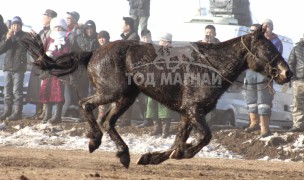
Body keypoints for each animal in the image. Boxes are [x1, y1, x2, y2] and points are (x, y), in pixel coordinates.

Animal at [21, 25, 292, 169]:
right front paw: (178, 154)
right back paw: (94, 141)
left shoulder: (188, 114)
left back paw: (124, 154)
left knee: (107, 121)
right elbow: (204, 137)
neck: (211, 65)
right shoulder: (193, 111)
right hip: (112, 92)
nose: (286, 72)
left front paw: (152, 157)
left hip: (126, 98)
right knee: (86, 106)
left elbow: (178, 141)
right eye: (268, 47)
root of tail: (94, 52)